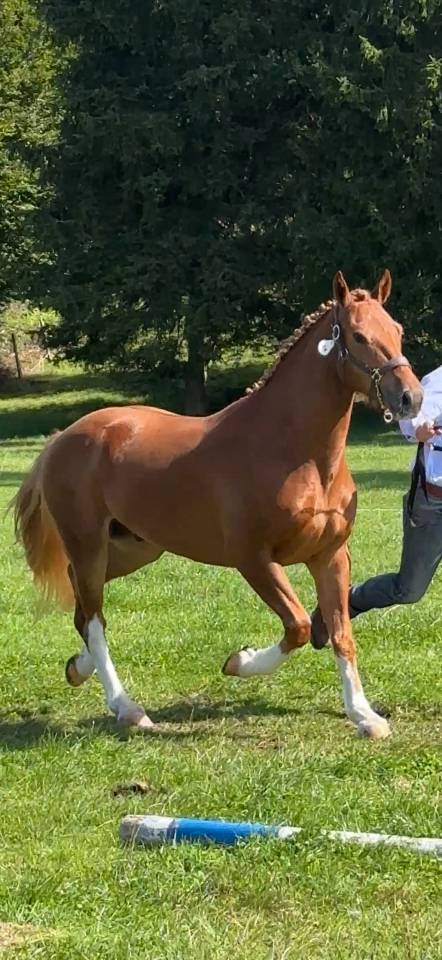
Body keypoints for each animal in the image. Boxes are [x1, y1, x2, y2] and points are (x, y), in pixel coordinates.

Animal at [13, 270, 423, 738]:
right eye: (358, 336)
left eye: (397, 330)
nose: (411, 398)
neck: (293, 451)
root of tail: (61, 439)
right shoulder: (254, 559)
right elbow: (299, 626)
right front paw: (239, 661)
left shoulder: (330, 556)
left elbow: (341, 633)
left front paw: (364, 716)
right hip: (88, 545)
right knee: (95, 619)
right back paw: (128, 709)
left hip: (134, 548)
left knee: (82, 609)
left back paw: (79, 669)